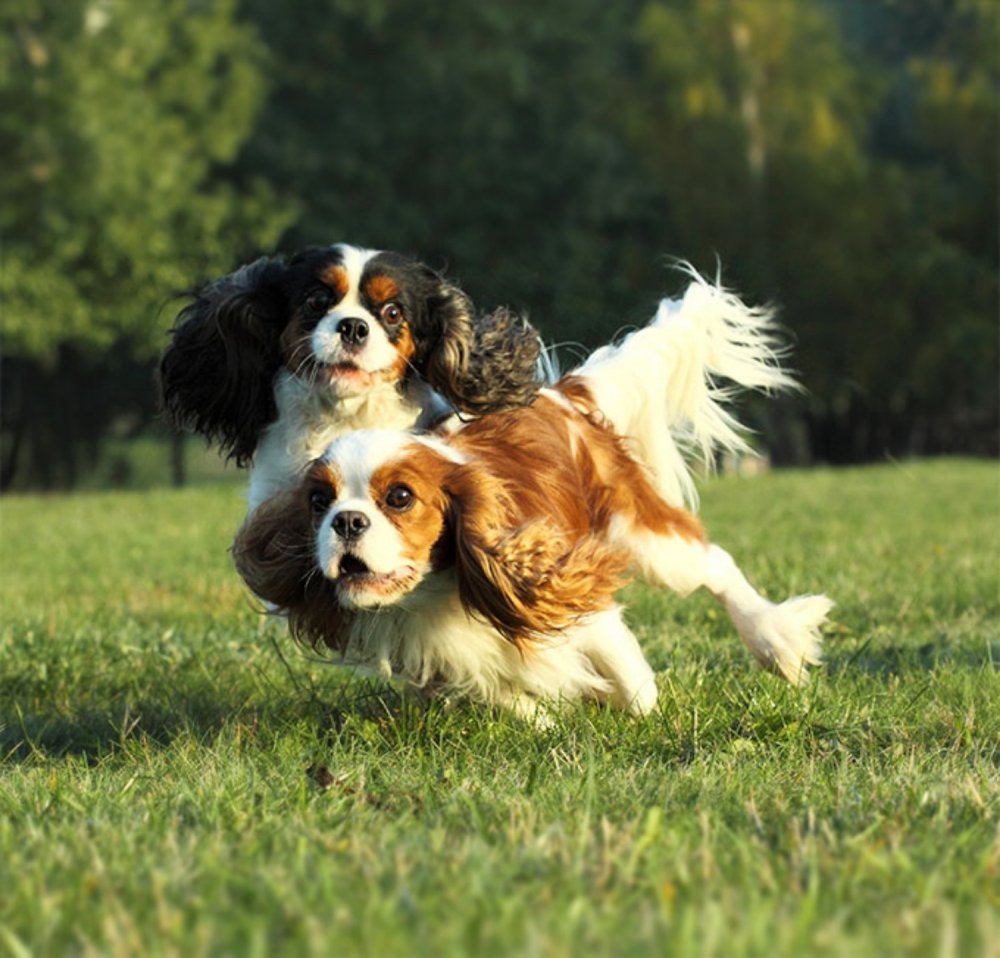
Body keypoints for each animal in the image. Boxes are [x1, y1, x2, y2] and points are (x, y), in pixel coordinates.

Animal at [232, 274, 828, 716]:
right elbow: (511, 697)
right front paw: (546, 713)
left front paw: (630, 705)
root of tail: (560, 394)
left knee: (715, 564)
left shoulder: (570, 590)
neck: (434, 594)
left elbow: (633, 684)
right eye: (319, 503)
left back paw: (774, 641)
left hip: (645, 538)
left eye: (399, 498)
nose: (347, 521)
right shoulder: (452, 657)